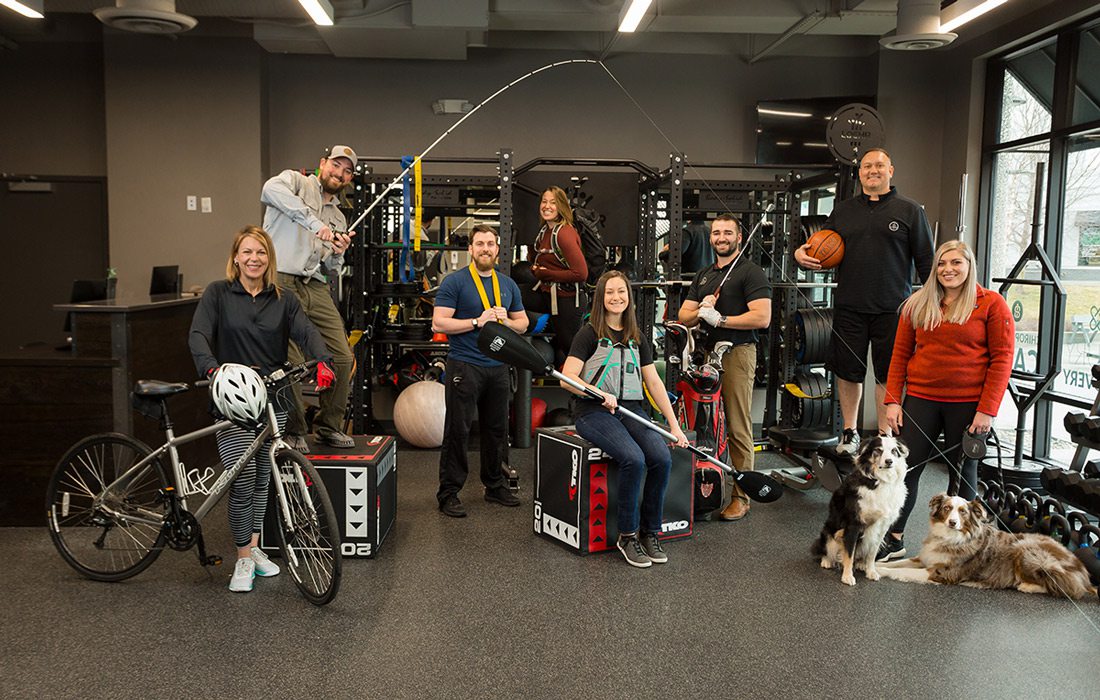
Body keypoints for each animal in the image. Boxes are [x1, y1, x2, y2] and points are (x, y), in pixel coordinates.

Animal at [814, 435, 906, 589]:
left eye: (894, 451)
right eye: (878, 450)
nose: (889, 461)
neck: (880, 480)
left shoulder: (883, 527)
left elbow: (872, 553)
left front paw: (871, 571)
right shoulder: (854, 524)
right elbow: (849, 554)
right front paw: (847, 576)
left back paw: (861, 564)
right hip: (829, 531)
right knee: (826, 548)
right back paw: (827, 561)